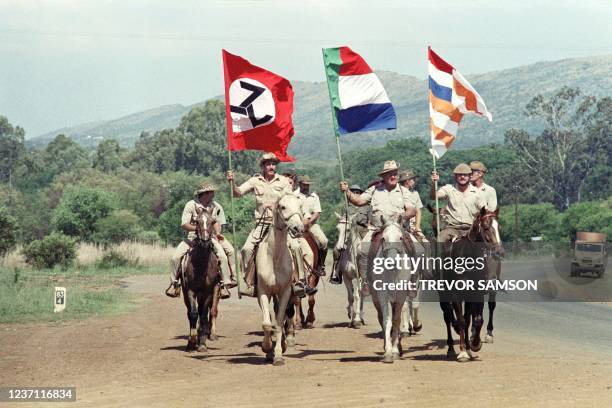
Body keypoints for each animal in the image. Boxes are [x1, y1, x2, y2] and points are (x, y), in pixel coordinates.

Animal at [180, 207, 221, 350]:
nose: (204, 242)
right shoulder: (190, 290)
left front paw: (202, 343)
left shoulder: (208, 292)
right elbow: (193, 314)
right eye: (196, 221)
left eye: (213, 221)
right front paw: (192, 341)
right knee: (190, 312)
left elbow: (203, 315)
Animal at [256, 193, 304, 364]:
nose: (298, 228)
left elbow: (278, 322)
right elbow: (266, 323)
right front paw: (267, 348)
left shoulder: (285, 292)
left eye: (299, 205)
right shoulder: (263, 292)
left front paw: (278, 354)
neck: (275, 257)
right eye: (283, 206)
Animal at [368, 214, 412, 364]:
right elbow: (387, 321)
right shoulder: (383, 296)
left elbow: (397, 320)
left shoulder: (400, 296)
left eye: (400, 237)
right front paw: (388, 352)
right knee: (381, 317)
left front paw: (395, 350)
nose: (391, 262)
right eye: (383, 238)